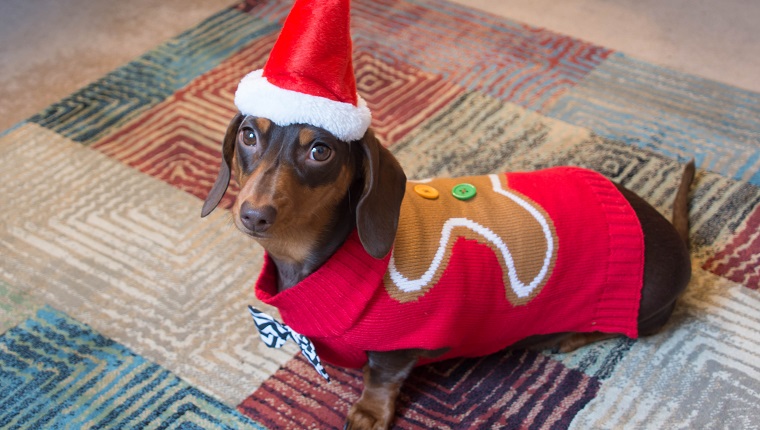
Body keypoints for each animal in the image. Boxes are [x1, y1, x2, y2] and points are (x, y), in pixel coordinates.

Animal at [202, 114, 696, 430]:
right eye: (249, 134)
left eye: (320, 150)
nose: (253, 214)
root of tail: (671, 234)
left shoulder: (402, 345)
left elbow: (380, 378)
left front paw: (368, 413)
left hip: (644, 304)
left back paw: (575, 335)